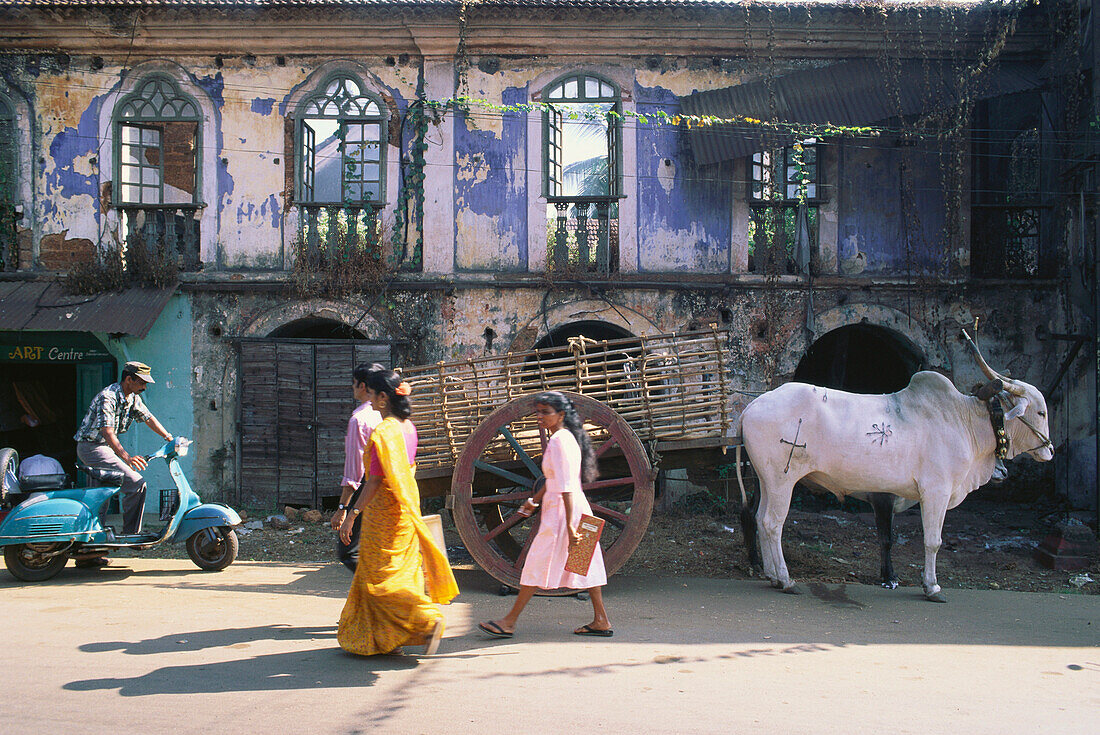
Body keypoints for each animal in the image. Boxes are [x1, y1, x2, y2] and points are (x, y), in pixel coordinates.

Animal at [734, 336, 1051, 598]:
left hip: (767, 480)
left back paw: (772, 576)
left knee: (759, 519)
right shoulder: (934, 492)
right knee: (772, 523)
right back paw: (786, 580)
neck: (965, 420)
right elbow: (932, 541)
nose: (1049, 450)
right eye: (1041, 412)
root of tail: (751, 408)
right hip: (782, 479)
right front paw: (931, 586)